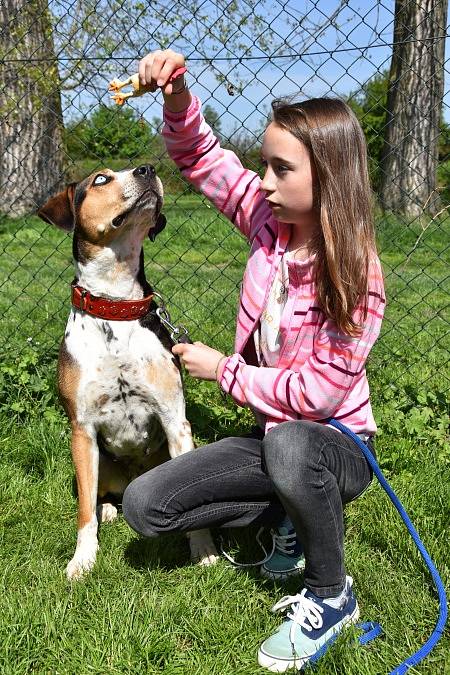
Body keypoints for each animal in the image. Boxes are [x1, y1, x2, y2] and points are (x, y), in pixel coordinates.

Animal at [37, 165, 217, 580]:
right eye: (101, 179)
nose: (147, 168)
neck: (116, 304)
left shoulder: (175, 421)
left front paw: (202, 550)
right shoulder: (82, 430)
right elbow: (83, 511)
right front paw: (83, 560)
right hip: (96, 459)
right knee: (98, 494)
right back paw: (107, 509)